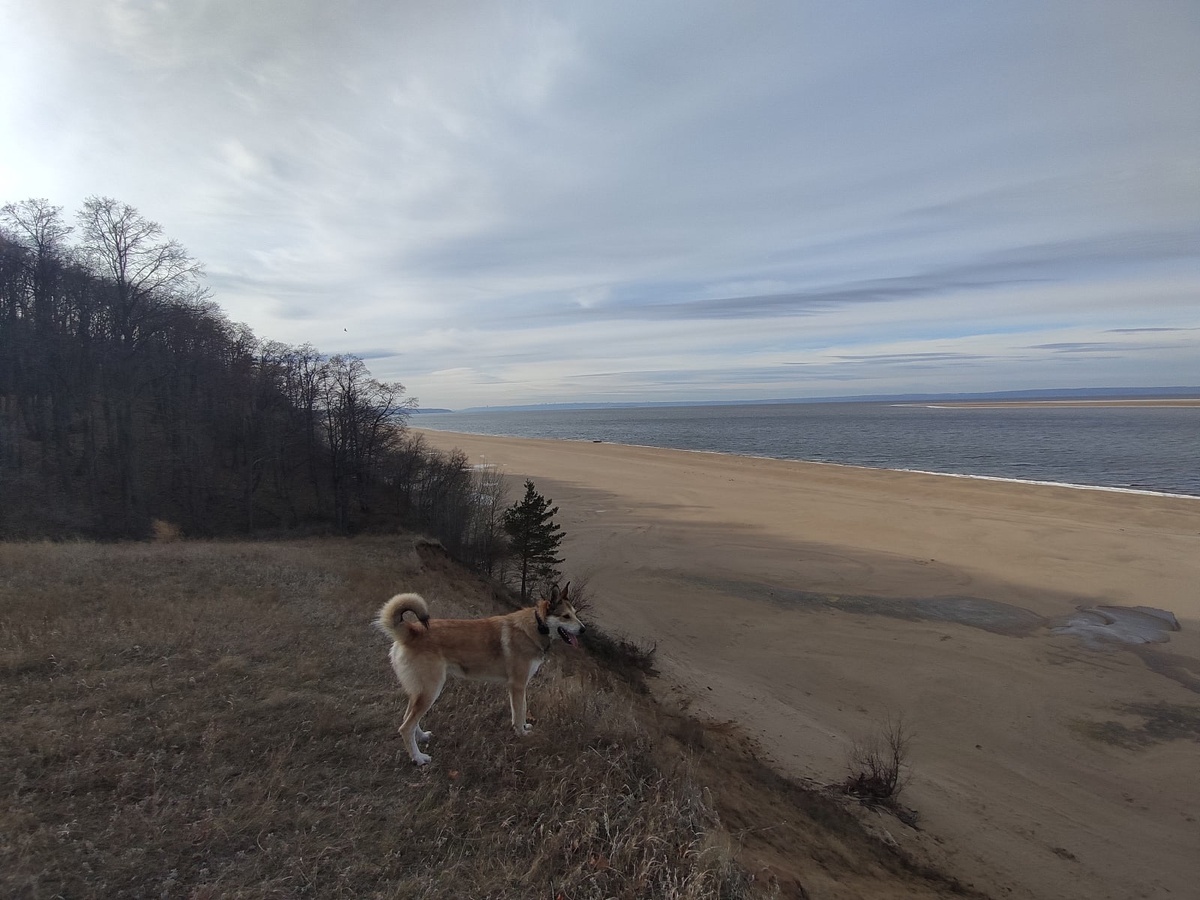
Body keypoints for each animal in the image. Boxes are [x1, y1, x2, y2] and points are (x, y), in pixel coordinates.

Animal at [372, 585, 583, 768]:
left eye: (575, 614)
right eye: (565, 616)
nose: (583, 629)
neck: (537, 625)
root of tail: (412, 631)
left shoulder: (519, 686)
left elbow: (522, 709)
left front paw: (523, 728)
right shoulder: (518, 685)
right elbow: (519, 712)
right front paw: (521, 733)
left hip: (420, 691)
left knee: (408, 718)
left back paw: (422, 736)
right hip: (430, 691)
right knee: (405, 727)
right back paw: (418, 758)